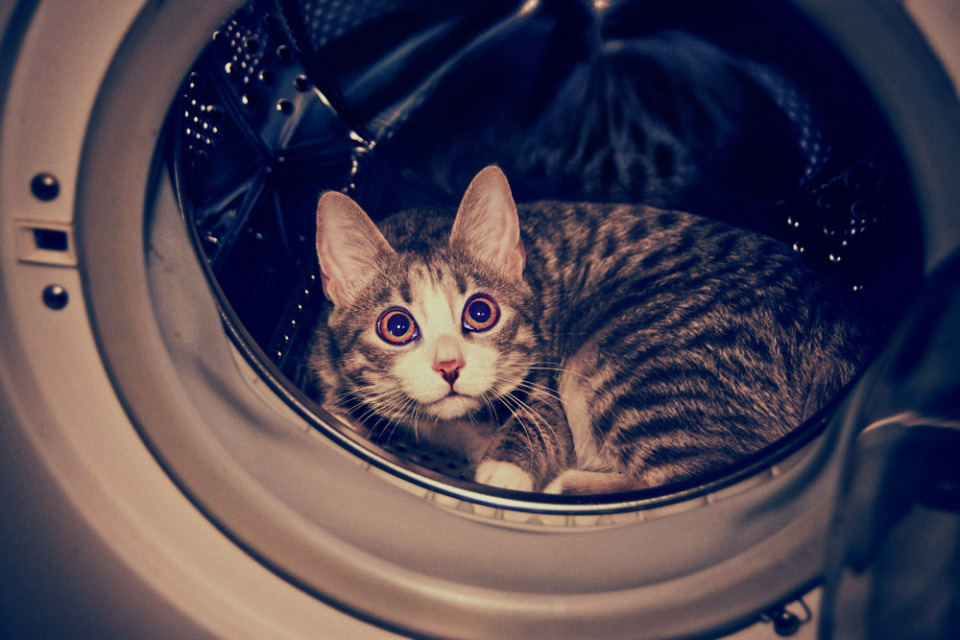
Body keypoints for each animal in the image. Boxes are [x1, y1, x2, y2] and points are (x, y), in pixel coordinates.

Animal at [310, 166, 872, 496]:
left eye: (481, 313)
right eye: (396, 326)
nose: (450, 366)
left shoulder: (544, 381)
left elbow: (540, 424)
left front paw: (506, 468)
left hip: (629, 360)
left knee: (698, 471)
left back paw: (569, 485)